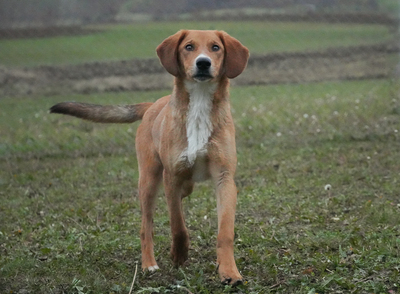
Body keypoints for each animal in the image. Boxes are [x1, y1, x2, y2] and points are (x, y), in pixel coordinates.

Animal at [49, 30, 250, 284]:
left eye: (216, 47)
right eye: (189, 47)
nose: (203, 63)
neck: (199, 104)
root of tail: (153, 105)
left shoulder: (224, 178)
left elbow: (225, 232)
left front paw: (229, 272)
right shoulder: (172, 176)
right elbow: (177, 225)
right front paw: (178, 254)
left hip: (184, 184)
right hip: (149, 180)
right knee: (146, 226)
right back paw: (149, 265)